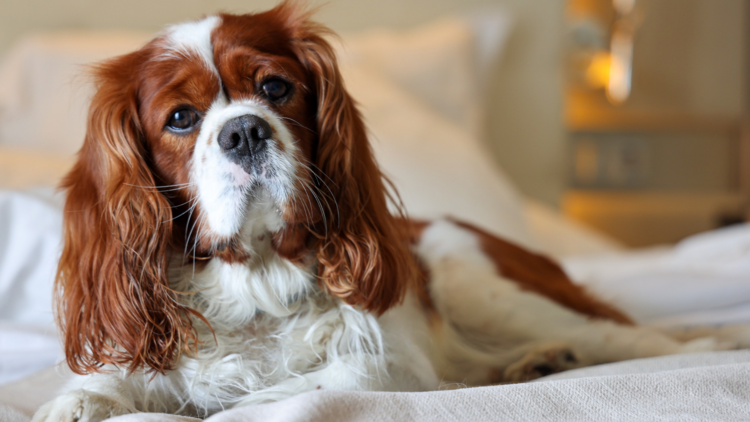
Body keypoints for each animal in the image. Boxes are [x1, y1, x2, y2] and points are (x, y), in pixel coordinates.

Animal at [32, 2, 744, 418]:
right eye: (180, 118)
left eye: (275, 87)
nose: (244, 131)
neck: (255, 285)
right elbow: (92, 394)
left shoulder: (380, 367)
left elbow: (270, 399)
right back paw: (535, 363)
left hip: (476, 279)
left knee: (635, 338)